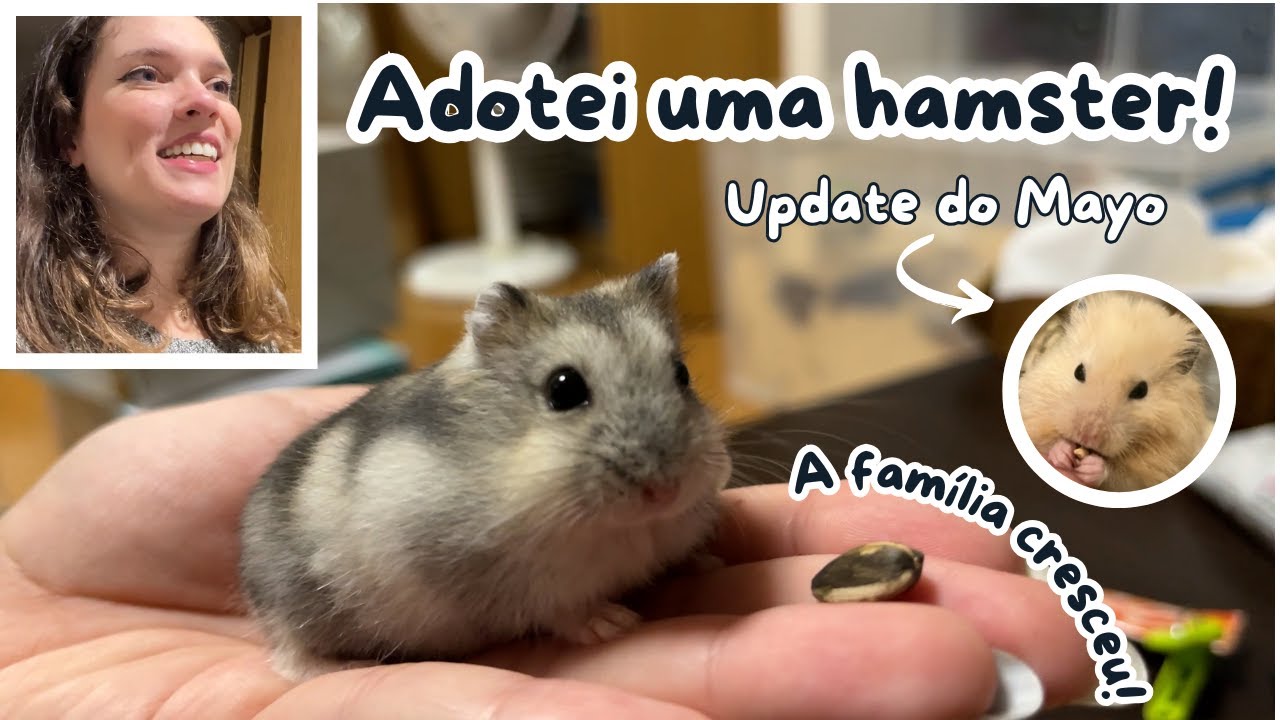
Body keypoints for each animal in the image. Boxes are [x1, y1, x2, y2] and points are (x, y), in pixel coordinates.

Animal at [238, 254, 732, 681]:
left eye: (683, 374)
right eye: (564, 388)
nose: (665, 492)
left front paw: (709, 562)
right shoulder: (505, 581)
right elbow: (560, 608)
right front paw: (613, 624)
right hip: (290, 604)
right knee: (290, 656)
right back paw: (345, 667)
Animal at [1018, 291, 1216, 492]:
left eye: (1141, 390)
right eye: (1078, 371)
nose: (1087, 436)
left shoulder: (1160, 465)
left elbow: (1121, 476)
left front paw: (1094, 467)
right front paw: (1062, 451)